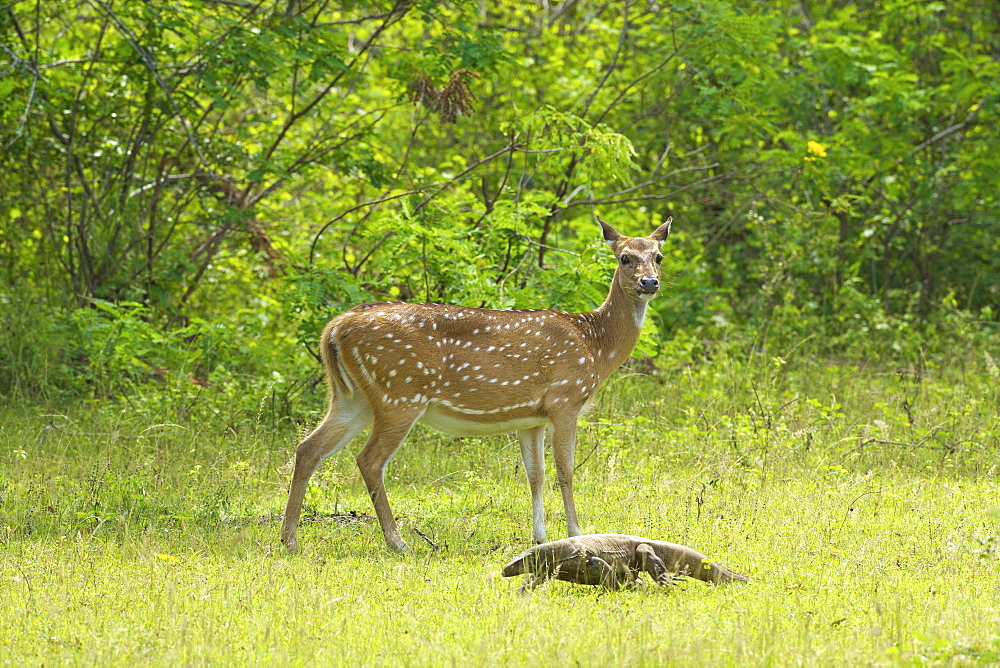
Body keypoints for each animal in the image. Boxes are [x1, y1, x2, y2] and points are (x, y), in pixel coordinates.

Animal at [280, 217, 672, 552]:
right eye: (624, 258)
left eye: (658, 256)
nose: (649, 282)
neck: (595, 346)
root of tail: (334, 328)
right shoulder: (566, 399)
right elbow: (565, 471)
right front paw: (577, 533)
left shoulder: (532, 417)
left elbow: (535, 474)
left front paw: (541, 537)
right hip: (400, 393)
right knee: (369, 460)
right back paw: (397, 541)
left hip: (352, 398)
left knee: (308, 448)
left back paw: (290, 539)